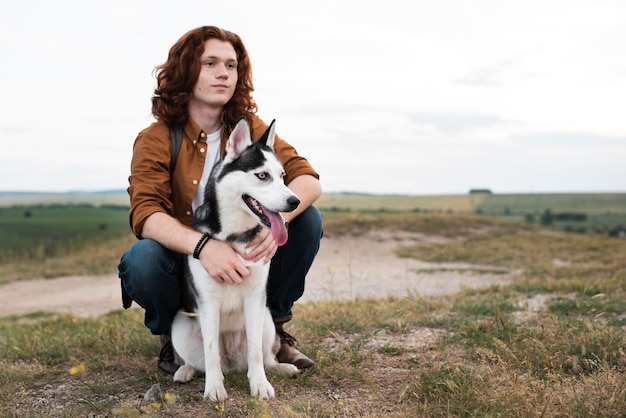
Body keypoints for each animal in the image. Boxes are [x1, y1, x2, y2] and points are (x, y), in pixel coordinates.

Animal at [169, 118, 298, 402]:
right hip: (179, 325)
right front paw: (214, 388)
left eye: (283, 176)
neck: (235, 234)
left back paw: (281, 367)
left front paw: (260, 384)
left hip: (267, 320)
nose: (295, 201)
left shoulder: (255, 297)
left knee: (265, 355)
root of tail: (231, 361)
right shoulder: (208, 302)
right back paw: (184, 370)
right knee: (196, 361)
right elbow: (211, 353)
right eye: (262, 175)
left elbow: (255, 353)